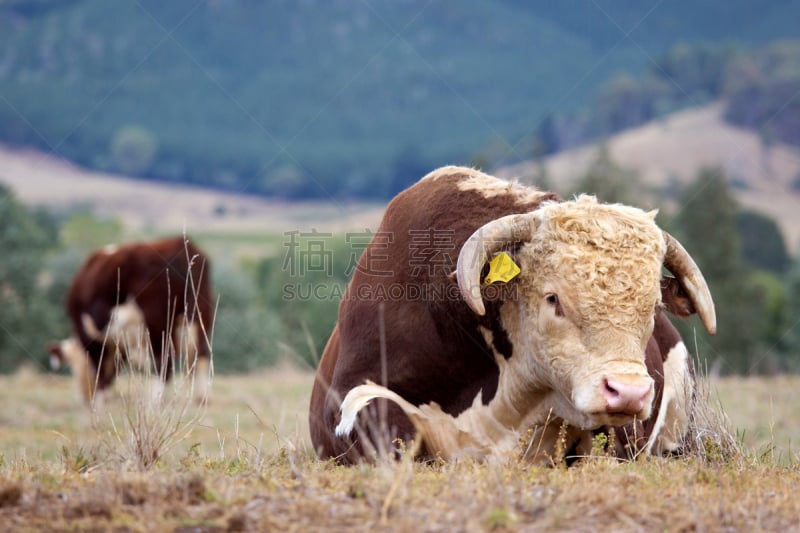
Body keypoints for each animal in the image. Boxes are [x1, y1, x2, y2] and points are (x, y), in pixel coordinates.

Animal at [48, 235, 214, 406]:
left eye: (74, 370)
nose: (84, 398)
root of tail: (179, 243)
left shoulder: (93, 339)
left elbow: (100, 371)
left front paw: (100, 401)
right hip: (200, 315)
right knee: (200, 355)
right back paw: (201, 399)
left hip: (157, 321)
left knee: (164, 359)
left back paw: (154, 401)